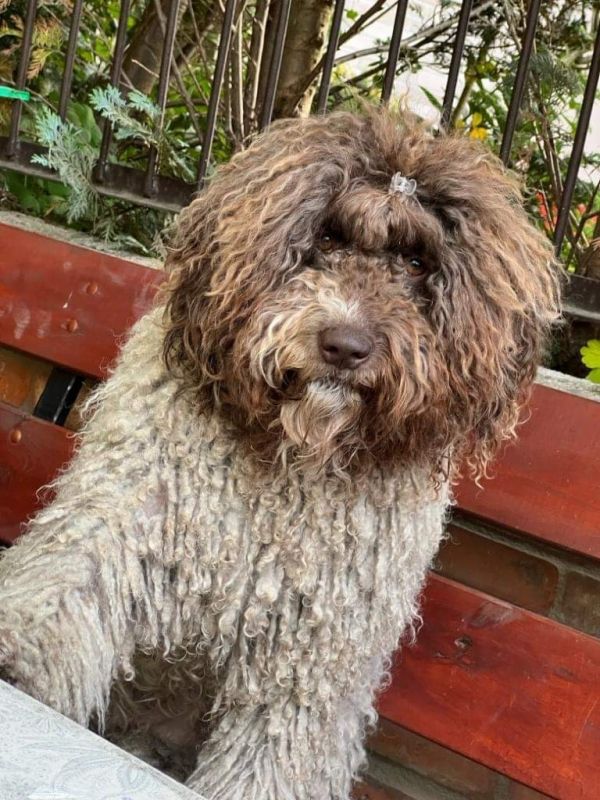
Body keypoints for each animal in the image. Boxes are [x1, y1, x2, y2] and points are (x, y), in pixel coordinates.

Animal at [0, 108, 559, 799]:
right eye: (327, 237)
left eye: (416, 262)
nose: (345, 345)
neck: (284, 467)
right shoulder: (120, 519)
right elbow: (62, 587)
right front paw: (15, 661)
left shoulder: (305, 666)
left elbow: (268, 762)